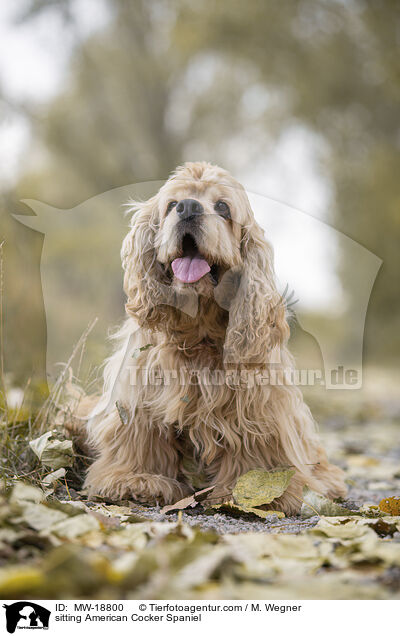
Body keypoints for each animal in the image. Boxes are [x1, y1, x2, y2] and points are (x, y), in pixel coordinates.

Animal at [79, 161, 346, 516]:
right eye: (171, 205)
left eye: (223, 207)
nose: (188, 207)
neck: (199, 330)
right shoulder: (138, 390)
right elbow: (141, 438)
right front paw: (139, 480)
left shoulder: (257, 401)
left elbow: (252, 449)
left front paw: (249, 490)